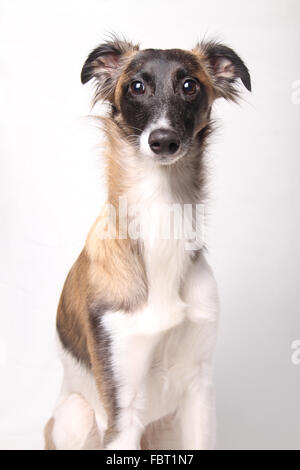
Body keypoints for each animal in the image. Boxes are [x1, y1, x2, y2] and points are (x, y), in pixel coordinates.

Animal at [44, 35, 251, 448]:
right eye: (136, 86)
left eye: (189, 85)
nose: (163, 141)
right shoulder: (122, 410)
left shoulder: (200, 390)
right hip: (75, 415)